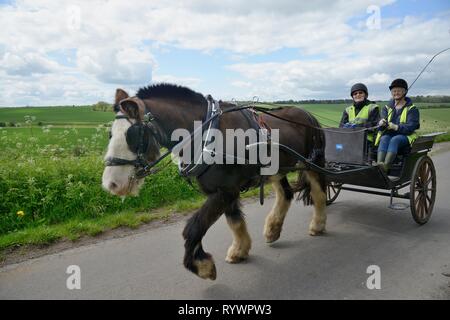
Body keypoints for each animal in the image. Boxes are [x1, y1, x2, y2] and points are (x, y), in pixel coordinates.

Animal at [102, 83, 326, 280]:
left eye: (132, 135)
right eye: (110, 133)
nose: (111, 184)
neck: (207, 134)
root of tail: (308, 114)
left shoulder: (226, 190)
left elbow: (194, 227)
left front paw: (202, 266)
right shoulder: (224, 191)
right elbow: (234, 221)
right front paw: (239, 250)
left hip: (313, 163)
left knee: (319, 193)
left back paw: (318, 225)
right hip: (278, 169)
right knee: (286, 194)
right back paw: (272, 229)